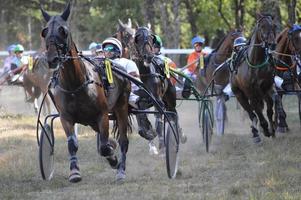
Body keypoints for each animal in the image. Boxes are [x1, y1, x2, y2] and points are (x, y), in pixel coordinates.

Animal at [39, 2, 130, 181]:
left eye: (63, 31)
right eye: (45, 31)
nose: (52, 59)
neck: (75, 85)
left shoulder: (102, 115)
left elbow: (104, 147)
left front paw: (113, 159)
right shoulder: (66, 117)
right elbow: (72, 143)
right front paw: (74, 171)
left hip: (121, 107)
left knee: (123, 140)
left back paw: (121, 170)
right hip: (91, 120)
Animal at [230, 14, 276, 142]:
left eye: (274, 26)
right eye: (262, 26)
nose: (272, 44)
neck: (256, 63)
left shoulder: (267, 87)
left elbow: (269, 107)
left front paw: (272, 130)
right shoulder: (250, 91)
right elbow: (256, 110)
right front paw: (265, 129)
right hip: (239, 94)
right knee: (251, 113)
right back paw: (256, 133)